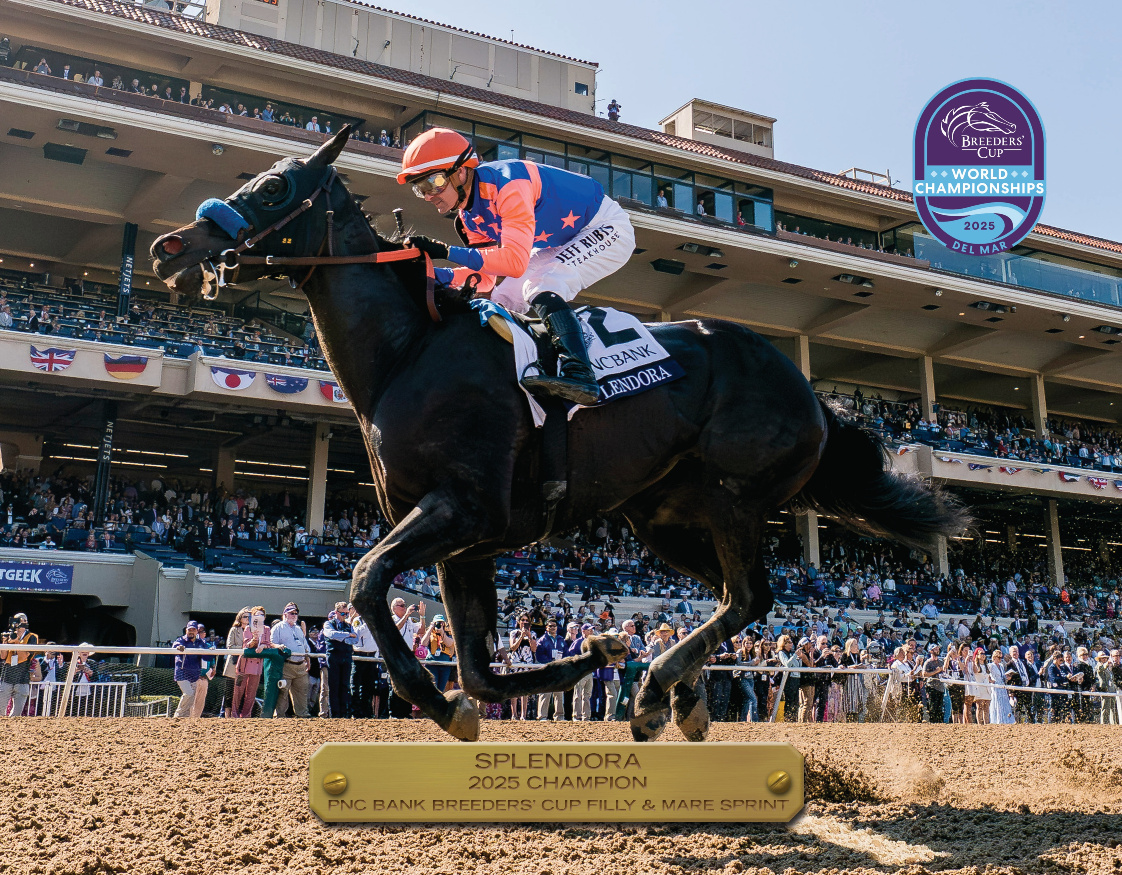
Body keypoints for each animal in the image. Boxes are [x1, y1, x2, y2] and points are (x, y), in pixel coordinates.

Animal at [151, 126, 968, 742]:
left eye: (273, 189)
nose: (168, 248)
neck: (409, 354)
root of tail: (811, 394)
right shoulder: (466, 542)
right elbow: (478, 668)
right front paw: (589, 654)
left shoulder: (463, 511)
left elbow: (367, 580)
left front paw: (443, 699)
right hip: (665, 518)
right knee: (735, 597)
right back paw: (680, 696)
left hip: (733, 496)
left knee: (750, 597)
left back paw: (656, 691)